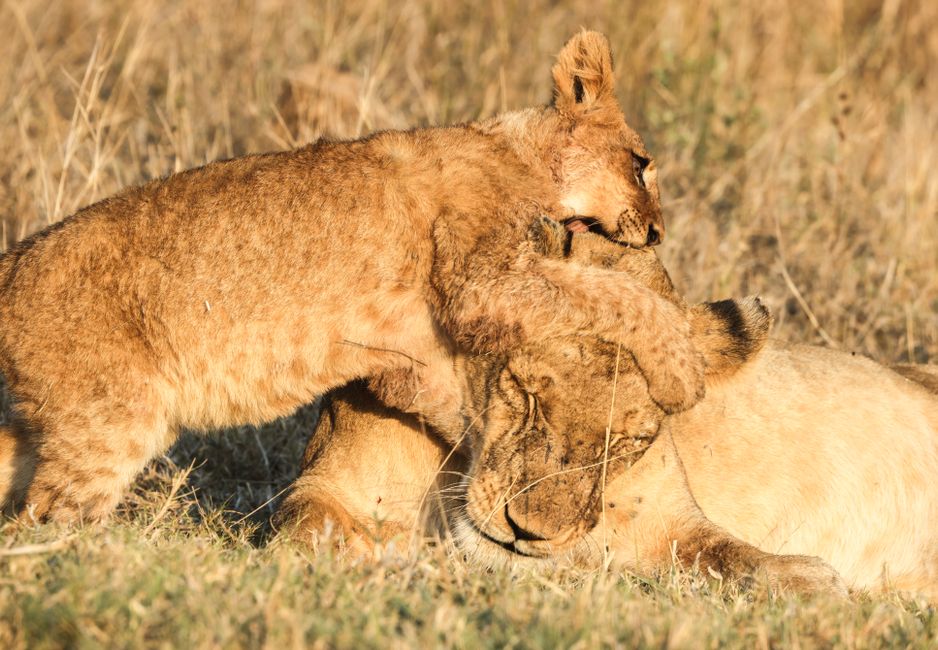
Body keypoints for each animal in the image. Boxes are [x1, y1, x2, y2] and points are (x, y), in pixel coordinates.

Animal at [0, 31, 707, 523]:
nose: (658, 232)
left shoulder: (421, 355)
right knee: (44, 520)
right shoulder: (480, 287)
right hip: (110, 423)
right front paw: (683, 371)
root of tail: (12, 262)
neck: (514, 152)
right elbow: (614, 292)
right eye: (641, 163)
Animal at [276, 231, 938, 598]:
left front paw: (812, 584)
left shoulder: (673, 523)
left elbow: (729, 554)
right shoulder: (329, 481)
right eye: (527, 393)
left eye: (630, 443)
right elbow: (308, 527)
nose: (527, 534)